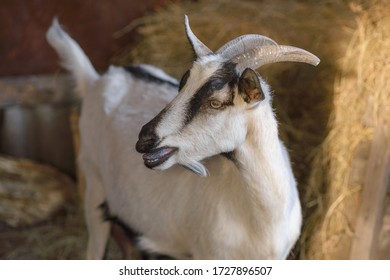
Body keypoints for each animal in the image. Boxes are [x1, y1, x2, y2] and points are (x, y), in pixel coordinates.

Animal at [47, 16, 318, 260]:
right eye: (181, 86)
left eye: (216, 102)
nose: (144, 140)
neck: (260, 219)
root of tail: (95, 80)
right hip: (93, 183)